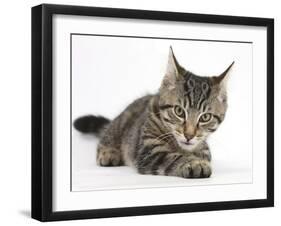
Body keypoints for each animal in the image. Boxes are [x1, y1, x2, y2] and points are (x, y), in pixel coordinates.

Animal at [74, 47, 232, 178]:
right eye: (179, 111)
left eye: (205, 117)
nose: (189, 135)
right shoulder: (150, 151)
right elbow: (174, 157)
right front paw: (194, 163)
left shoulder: (204, 148)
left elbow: (204, 153)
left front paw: (198, 158)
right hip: (121, 123)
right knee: (107, 135)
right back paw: (109, 152)